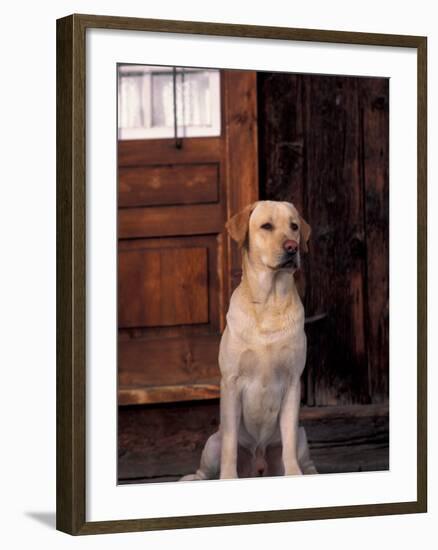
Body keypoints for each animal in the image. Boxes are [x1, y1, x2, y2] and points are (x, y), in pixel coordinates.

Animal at [180, 201, 316, 480]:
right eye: (267, 226)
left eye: (294, 227)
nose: (293, 247)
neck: (269, 302)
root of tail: (259, 465)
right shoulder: (231, 382)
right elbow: (231, 445)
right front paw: (228, 478)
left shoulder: (292, 382)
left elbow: (288, 443)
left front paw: (293, 474)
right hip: (213, 443)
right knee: (204, 469)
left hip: (301, 436)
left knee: (302, 456)